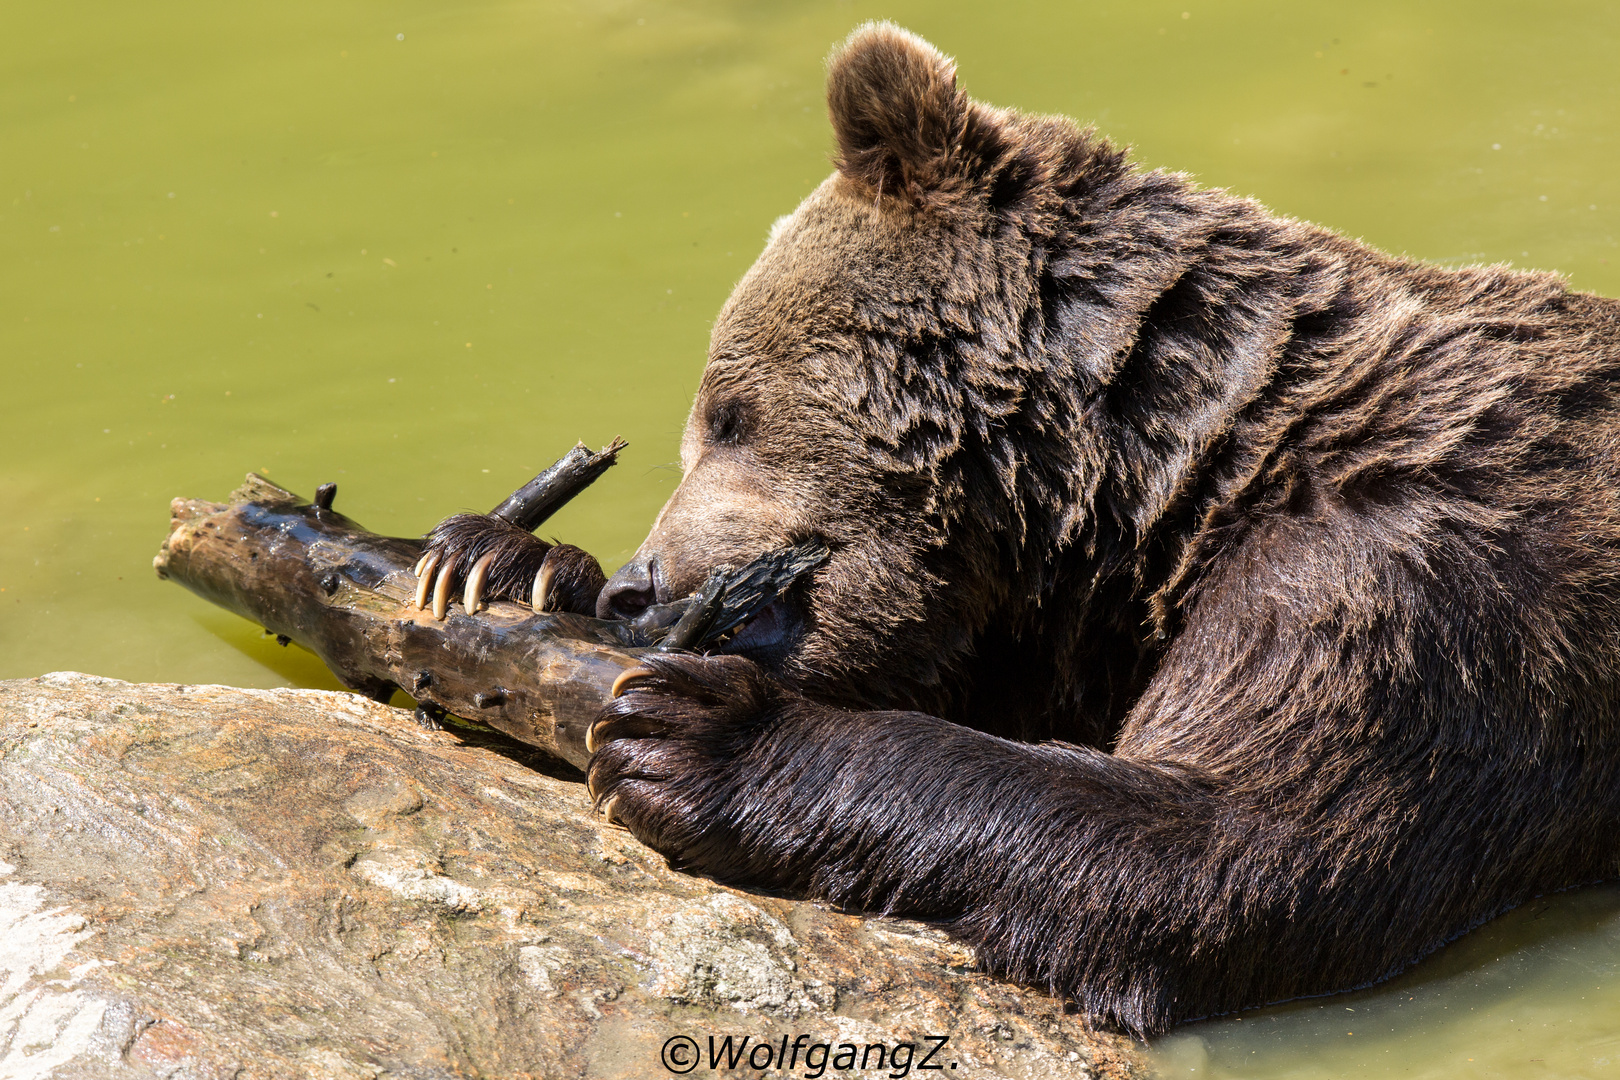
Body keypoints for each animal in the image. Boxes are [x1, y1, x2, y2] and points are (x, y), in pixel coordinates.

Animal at [417, 25, 1620, 1036]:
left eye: (727, 413)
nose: (640, 586)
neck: (1174, 483)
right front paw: (506, 561)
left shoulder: (1407, 588)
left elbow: (1238, 844)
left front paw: (691, 732)